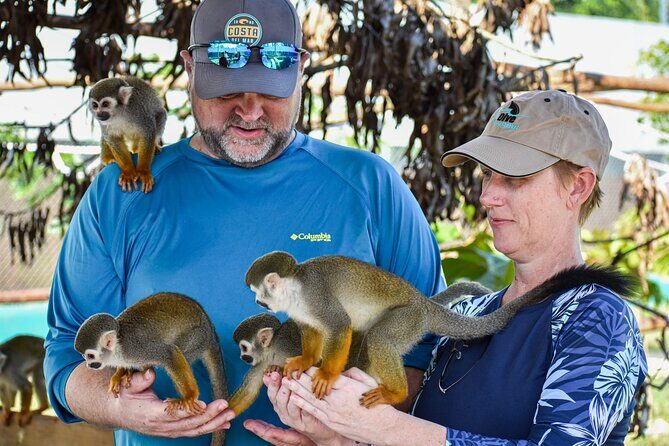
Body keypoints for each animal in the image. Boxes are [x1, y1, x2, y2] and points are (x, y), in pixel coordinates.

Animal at [74, 292, 227, 445]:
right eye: (84, 356)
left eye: (90, 356)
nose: (88, 365)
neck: (118, 347)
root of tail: (210, 329)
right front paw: (120, 375)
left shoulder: (134, 349)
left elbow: (169, 352)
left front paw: (190, 396)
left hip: (197, 338)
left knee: (180, 351)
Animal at [245, 251, 635, 408]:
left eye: (257, 292)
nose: (258, 302)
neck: (296, 291)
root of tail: (426, 305)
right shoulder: (302, 311)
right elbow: (313, 332)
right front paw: (303, 360)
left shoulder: (316, 295)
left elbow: (339, 325)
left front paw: (326, 373)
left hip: (410, 318)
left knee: (380, 337)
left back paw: (395, 393)